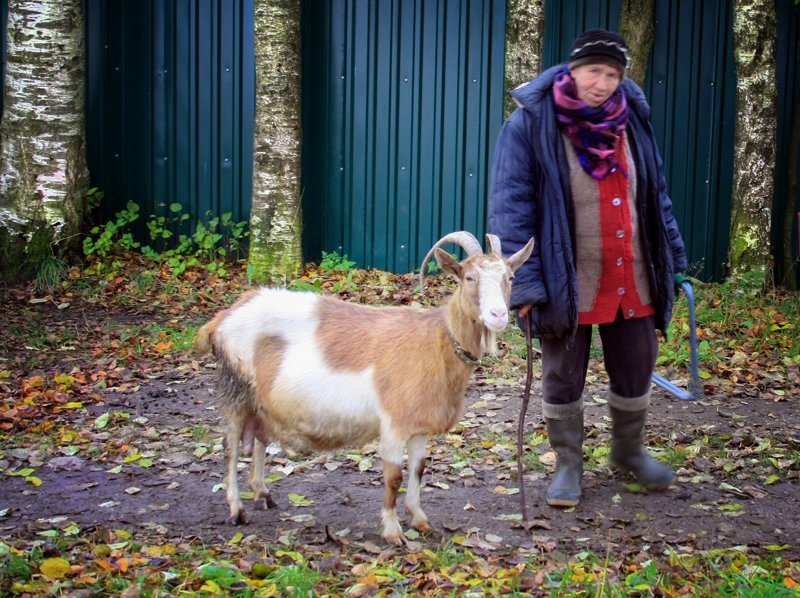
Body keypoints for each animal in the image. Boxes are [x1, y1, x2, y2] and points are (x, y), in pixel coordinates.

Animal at [192, 232, 532, 548]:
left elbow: (418, 470)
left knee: (260, 439)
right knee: (231, 448)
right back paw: (236, 510)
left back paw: (262, 492)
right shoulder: (393, 425)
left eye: (510, 277)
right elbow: (394, 477)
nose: (498, 315)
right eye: (469, 277)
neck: (435, 342)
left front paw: (420, 520)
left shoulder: (419, 427)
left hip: (259, 400)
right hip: (234, 387)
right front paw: (393, 532)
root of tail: (223, 318)